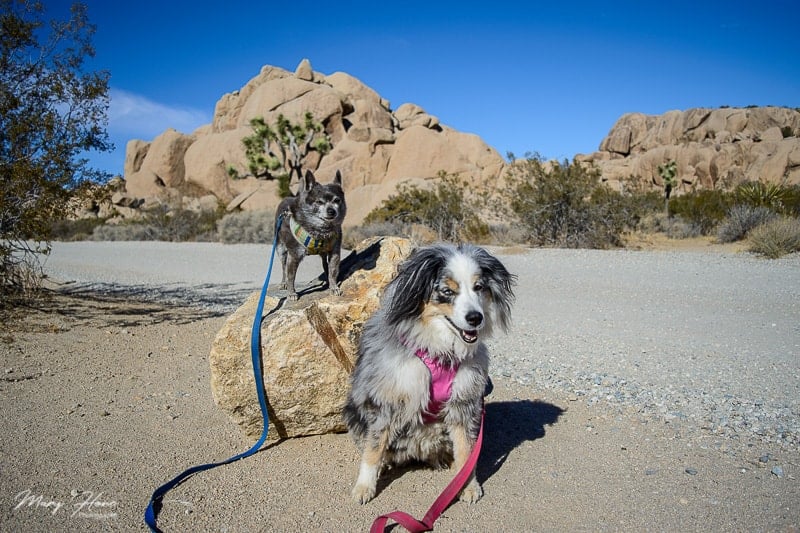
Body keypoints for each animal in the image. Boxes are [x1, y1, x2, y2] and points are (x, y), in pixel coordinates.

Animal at [276, 169, 346, 300]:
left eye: (337, 200)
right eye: (319, 202)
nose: (331, 211)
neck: (320, 230)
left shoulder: (334, 252)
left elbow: (333, 271)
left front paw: (333, 286)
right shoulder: (294, 255)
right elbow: (291, 276)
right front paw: (291, 293)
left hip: (323, 253)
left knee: (324, 263)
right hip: (280, 249)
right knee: (283, 267)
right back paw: (283, 283)